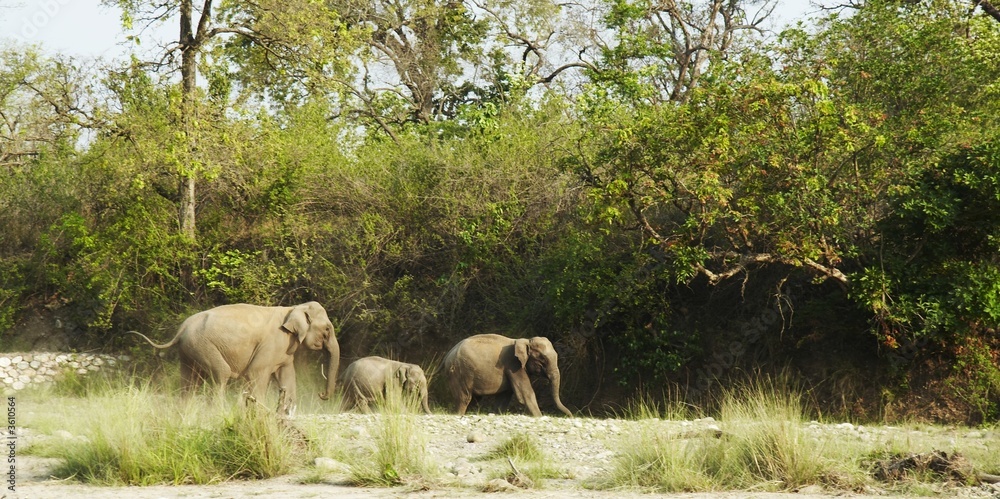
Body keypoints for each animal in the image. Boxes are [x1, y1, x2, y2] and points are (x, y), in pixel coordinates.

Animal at [130, 301, 340, 415]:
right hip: (203, 346)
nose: (322, 394)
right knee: (221, 374)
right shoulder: (272, 344)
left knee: (189, 381)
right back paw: (219, 411)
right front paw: (258, 412)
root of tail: (182, 328)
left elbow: (287, 377)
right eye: (327, 329)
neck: (293, 308)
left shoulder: (285, 350)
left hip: (189, 350)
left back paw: (184, 411)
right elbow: (256, 374)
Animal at [442, 334, 572, 417]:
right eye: (543, 359)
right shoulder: (513, 365)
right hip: (459, 373)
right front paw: (539, 417)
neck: (525, 341)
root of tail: (448, 354)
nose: (570, 416)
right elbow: (525, 393)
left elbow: (504, 397)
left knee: (474, 399)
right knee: (464, 398)